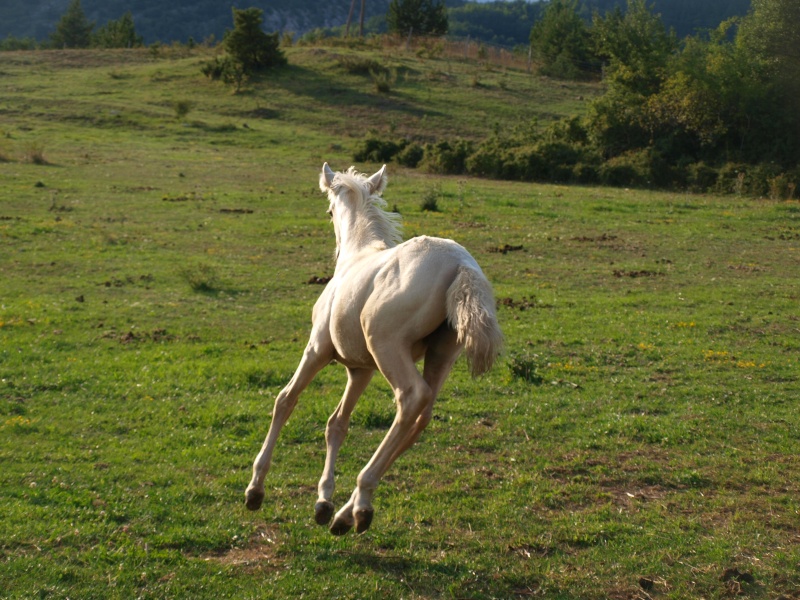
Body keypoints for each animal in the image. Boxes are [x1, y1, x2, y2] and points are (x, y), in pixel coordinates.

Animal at [247, 164, 504, 536]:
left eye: (329, 212)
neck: (356, 256)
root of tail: (461, 266)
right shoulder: (360, 369)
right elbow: (337, 423)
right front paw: (323, 502)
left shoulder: (317, 348)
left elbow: (285, 400)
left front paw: (255, 489)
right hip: (440, 355)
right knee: (421, 416)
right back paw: (344, 514)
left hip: (387, 346)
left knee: (411, 398)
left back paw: (362, 503)